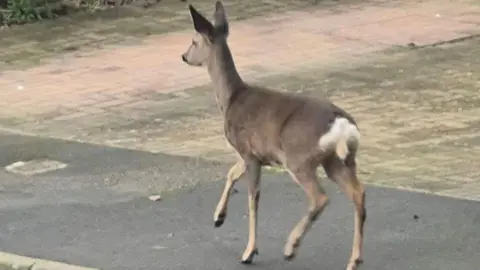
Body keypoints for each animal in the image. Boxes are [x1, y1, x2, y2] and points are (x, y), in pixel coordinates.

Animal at [182, 1, 366, 268]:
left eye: (194, 41)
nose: (184, 56)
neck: (231, 99)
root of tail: (342, 125)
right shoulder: (252, 152)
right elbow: (231, 173)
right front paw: (218, 217)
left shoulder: (248, 152)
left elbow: (253, 198)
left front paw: (249, 251)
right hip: (338, 160)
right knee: (358, 194)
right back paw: (353, 260)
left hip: (298, 158)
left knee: (320, 198)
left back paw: (291, 247)